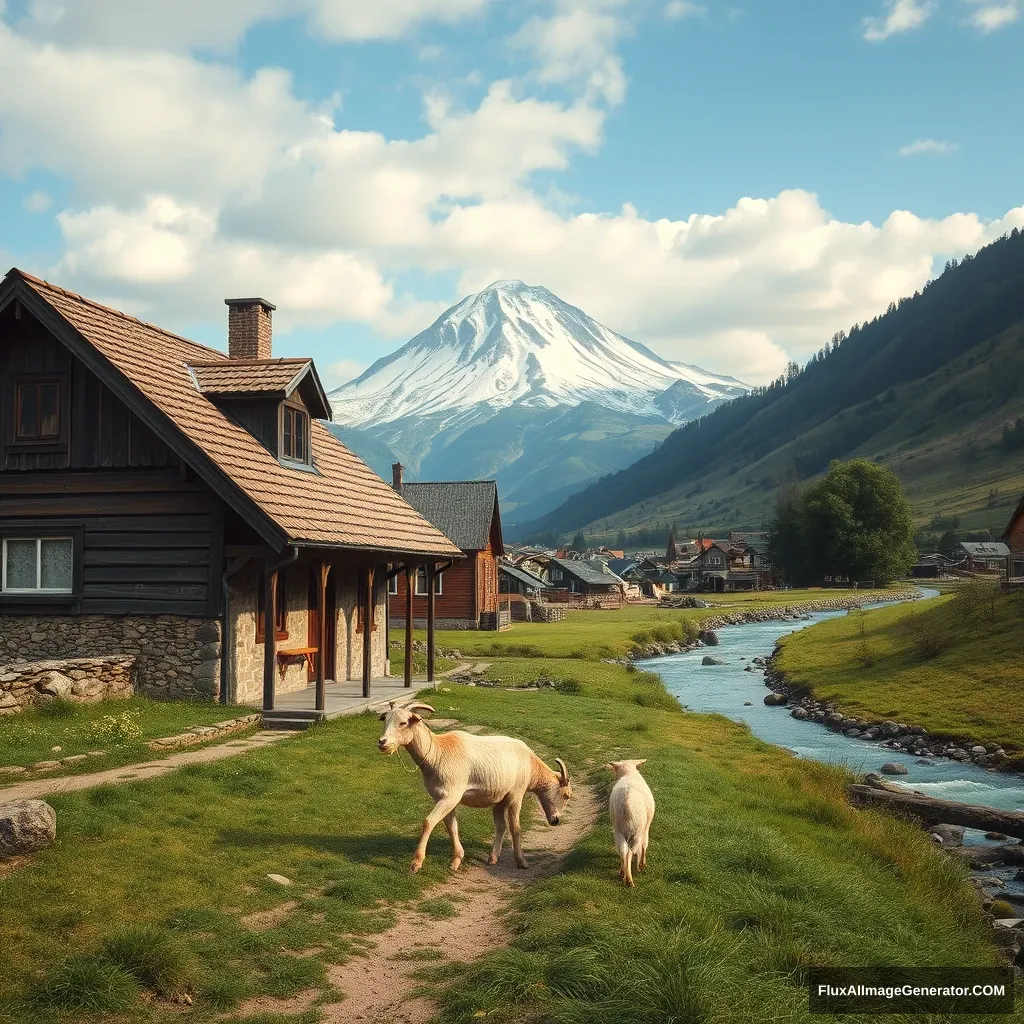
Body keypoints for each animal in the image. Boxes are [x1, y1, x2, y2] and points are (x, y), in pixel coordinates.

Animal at [376, 704, 573, 872]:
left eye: (403, 723)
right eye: (386, 721)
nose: (382, 742)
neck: (437, 753)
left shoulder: (513, 795)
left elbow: (515, 827)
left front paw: (521, 862)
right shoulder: (446, 797)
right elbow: (450, 826)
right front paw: (456, 860)